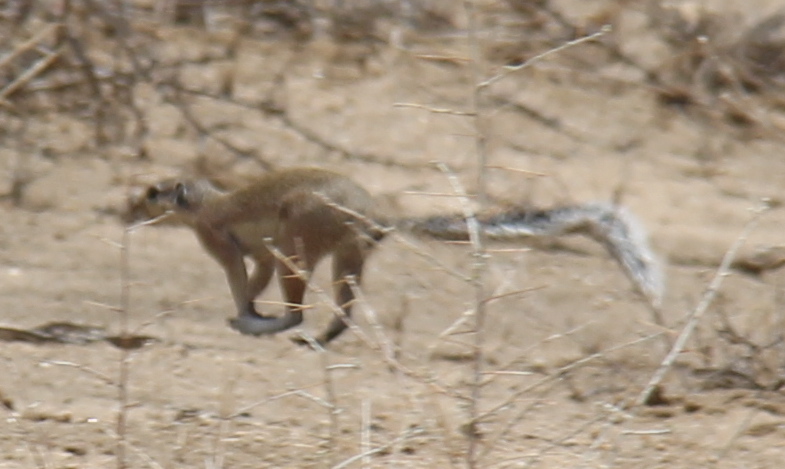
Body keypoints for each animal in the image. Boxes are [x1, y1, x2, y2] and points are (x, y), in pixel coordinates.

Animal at [126, 167, 663, 346]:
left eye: (151, 193)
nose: (124, 210)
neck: (207, 200)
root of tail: (375, 217)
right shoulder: (259, 251)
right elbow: (253, 274)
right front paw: (251, 309)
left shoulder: (219, 239)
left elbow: (239, 278)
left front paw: (244, 315)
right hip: (345, 256)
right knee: (343, 309)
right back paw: (317, 339)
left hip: (301, 244)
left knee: (300, 307)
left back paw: (274, 327)